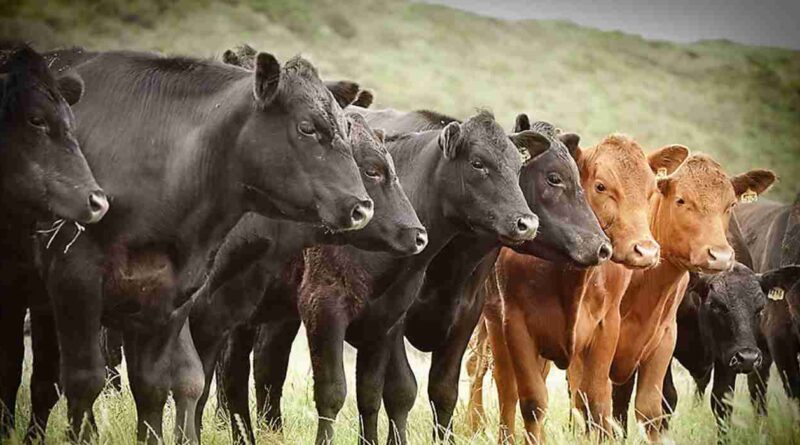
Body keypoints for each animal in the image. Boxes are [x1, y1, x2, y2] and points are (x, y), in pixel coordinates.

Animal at [0, 42, 108, 440]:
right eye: (36, 120)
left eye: (72, 124)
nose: (97, 201)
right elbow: (8, 367)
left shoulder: (45, 296)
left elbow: (45, 380)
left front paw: (31, 436)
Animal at [36, 49, 374, 444]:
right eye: (307, 127)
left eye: (346, 130)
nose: (362, 207)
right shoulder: (75, 282)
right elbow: (84, 380)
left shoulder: (170, 299)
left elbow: (155, 386)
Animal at [468, 134, 688, 440]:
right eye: (601, 186)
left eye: (650, 190)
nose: (645, 251)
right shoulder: (516, 325)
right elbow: (532, 402)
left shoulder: (606, 326)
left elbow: (595, 403)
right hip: (493, 324)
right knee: (505, 389)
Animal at [664, 262, 800, 432]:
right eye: (716, 306)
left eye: (761, 309)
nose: (748, 358)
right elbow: (667, 399)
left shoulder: (727, 356)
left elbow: (722, 402)